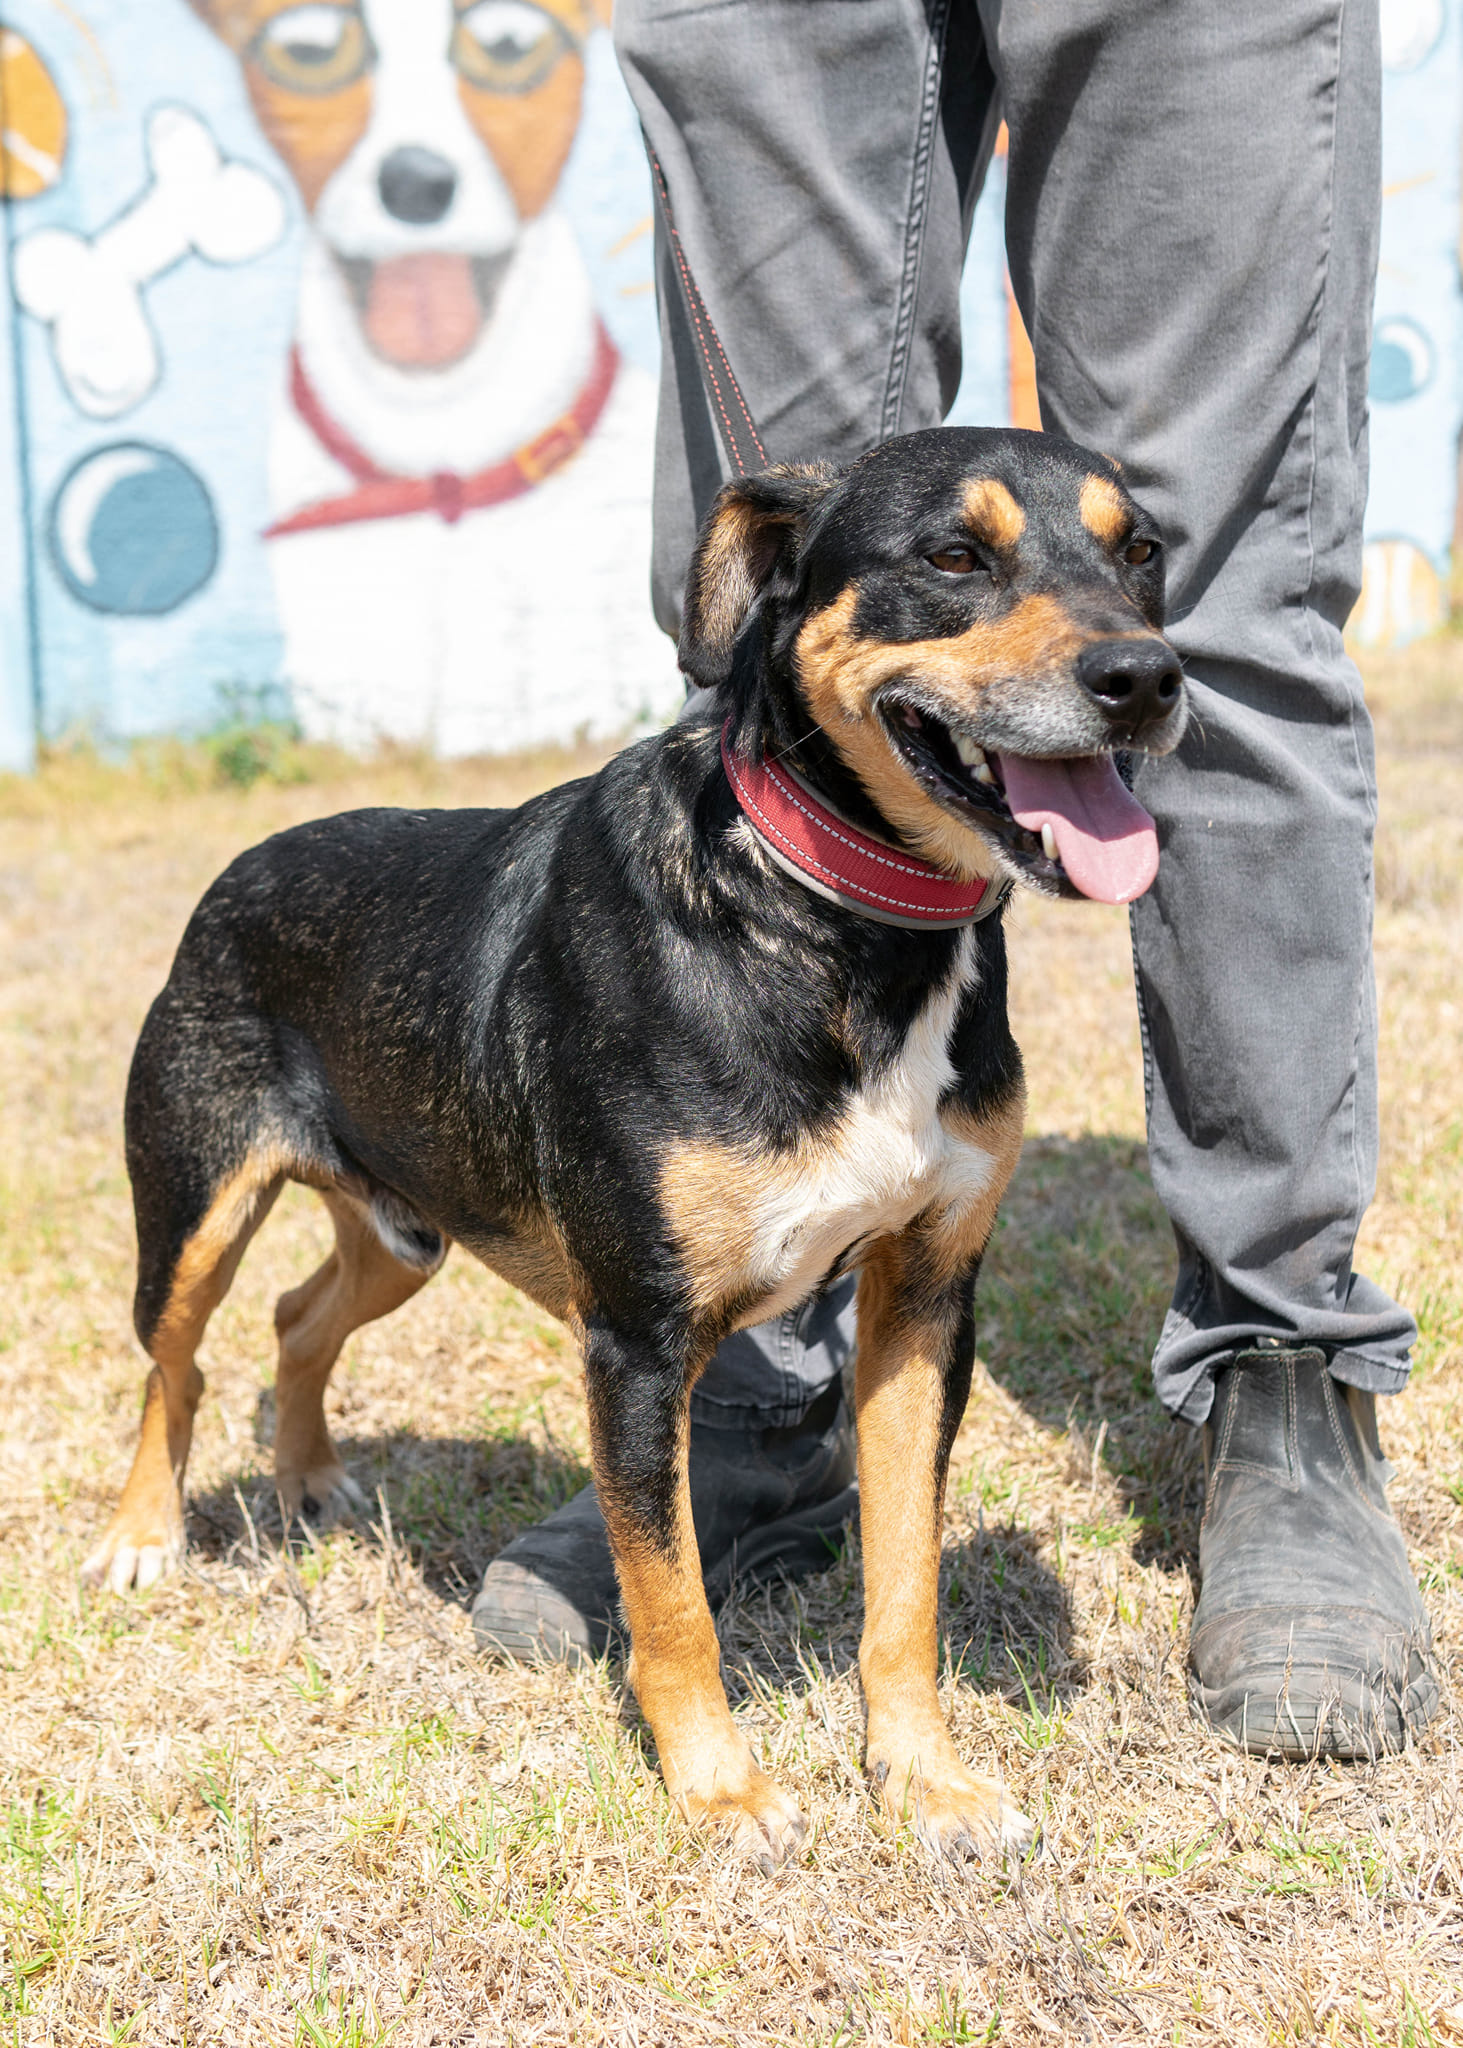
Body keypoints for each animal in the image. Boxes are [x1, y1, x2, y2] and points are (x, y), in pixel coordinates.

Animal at [83, 425, 1185, 1867]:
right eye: (953, 555)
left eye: (1141, 550)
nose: (1147, 679)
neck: (828, 921)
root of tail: (239, 867)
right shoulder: (636, 1342)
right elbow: (670, 1603)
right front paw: (720, 1792)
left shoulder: (925, 1300)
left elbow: (903, 1583)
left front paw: (923, 1779)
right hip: (193, 1204)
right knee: (179, 1359)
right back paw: (143, 1536)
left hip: (406, 1228)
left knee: (296, 1314)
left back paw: (311, 1476)